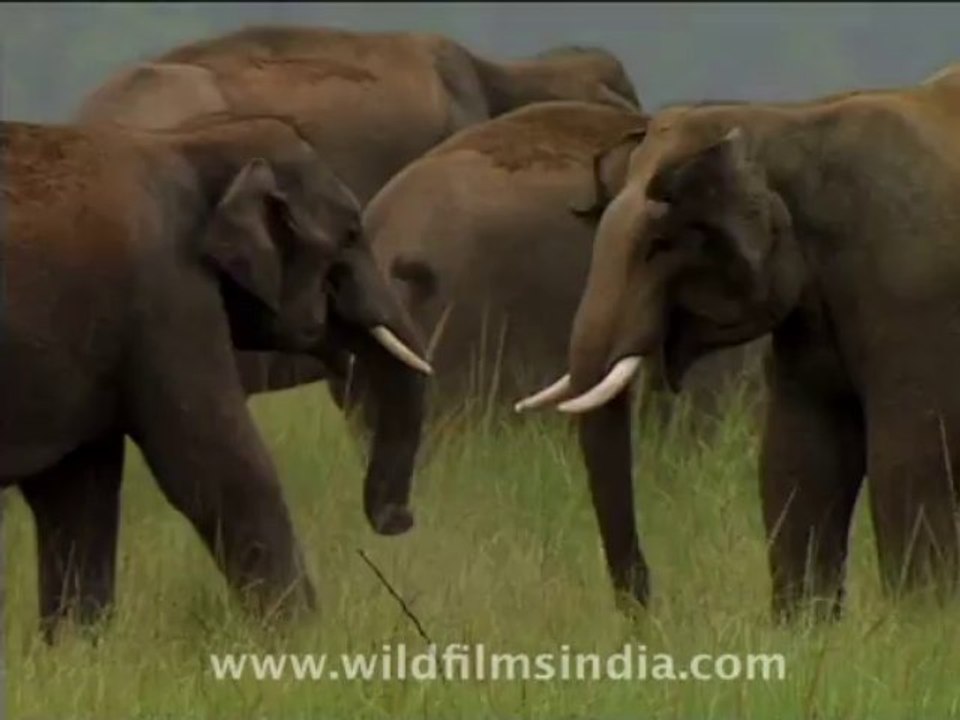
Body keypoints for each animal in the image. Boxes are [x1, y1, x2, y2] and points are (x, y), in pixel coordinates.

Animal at [0, 114, 430, 639]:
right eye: (350, 234)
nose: (399, 520)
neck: (193, 143)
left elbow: (78, 491)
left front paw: (78, 648)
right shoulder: (169, 294)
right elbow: (220, 465)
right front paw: (305, 641)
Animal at [519, 81, 960, 621]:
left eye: (660, 245)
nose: (648, 611)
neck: (789, 122)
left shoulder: (916, 298)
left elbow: (909, 462)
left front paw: (920, 625)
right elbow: (800, 457)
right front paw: (804, 629)